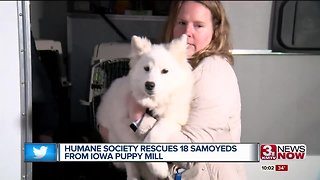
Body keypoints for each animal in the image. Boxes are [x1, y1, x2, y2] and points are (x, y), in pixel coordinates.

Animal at [96, 34, 192, 179]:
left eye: (165, 71)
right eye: (146, 68)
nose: (149, 84)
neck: (151, 104)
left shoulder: (173, 119)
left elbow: (153, 136)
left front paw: (159, 169)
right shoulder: (121, 126)